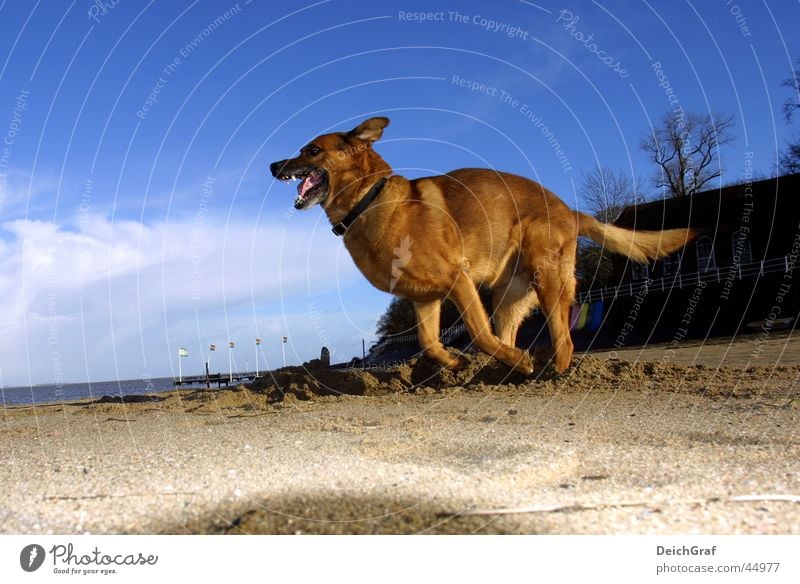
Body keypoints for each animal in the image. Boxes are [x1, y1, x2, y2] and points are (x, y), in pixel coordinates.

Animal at [270, 118, 692, 374]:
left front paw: (508, 360)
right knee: (510, 333)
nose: (273, 165)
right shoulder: (425, 299)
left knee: (563, 338)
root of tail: (570, 211)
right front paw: (455, 363)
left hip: (546, 279)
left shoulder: (459, 282)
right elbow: (428, 342)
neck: (369, 201)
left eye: (311, 150)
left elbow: (477, 333)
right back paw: (500, 373)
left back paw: (548, 372)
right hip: (508, 294)